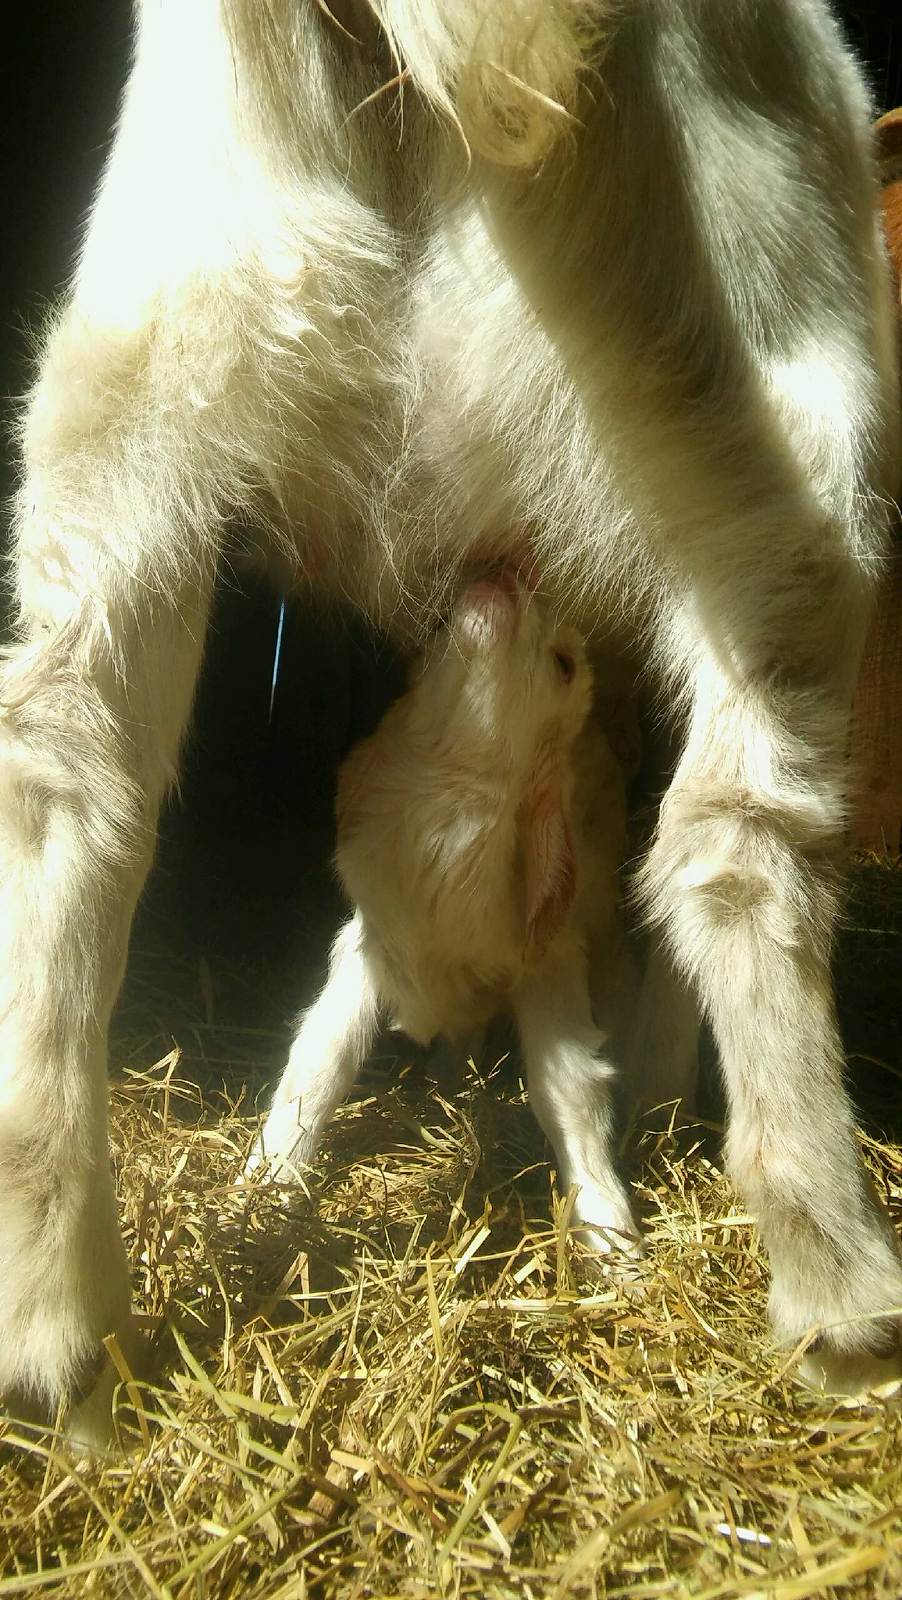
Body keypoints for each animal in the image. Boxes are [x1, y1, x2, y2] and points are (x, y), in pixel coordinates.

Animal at [1, 0, 901, 1442]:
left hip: (138, 386)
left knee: (62, 788)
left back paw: (56, 1351)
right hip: (768, 413)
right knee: (736, 837)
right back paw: (840, 1294)